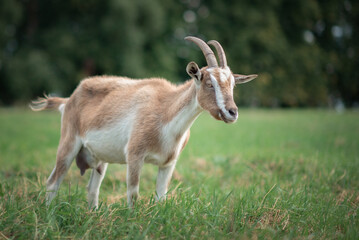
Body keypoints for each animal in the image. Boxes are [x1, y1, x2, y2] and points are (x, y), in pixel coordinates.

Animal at [30, 36, 256, 207]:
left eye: (233, 84)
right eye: (209, 83)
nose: (232, 112)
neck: (165, 112)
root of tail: (68, 100)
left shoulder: (168, 164)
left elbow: (161, 197)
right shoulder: (134, 156)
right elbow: (133, 195)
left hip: (99, 159)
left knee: (92, 190)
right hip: (68, 145)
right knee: (53, 182)